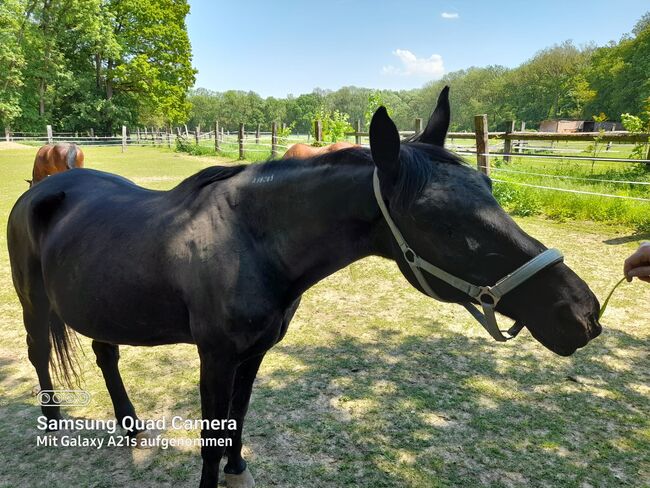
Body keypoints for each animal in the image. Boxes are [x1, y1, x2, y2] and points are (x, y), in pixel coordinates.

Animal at [7, 89, 600, 486]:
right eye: (444, 222)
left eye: (489, 185)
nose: (582, 313)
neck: (249, 241)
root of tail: (43, 187)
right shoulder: (214, 356)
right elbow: (209, 437)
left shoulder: (254, 353)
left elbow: (237, 420)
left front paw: (238, 467)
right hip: (33, 302)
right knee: (39, 352)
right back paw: (53, 420)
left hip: (99, 303)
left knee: (105, 355)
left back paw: (130, 426)